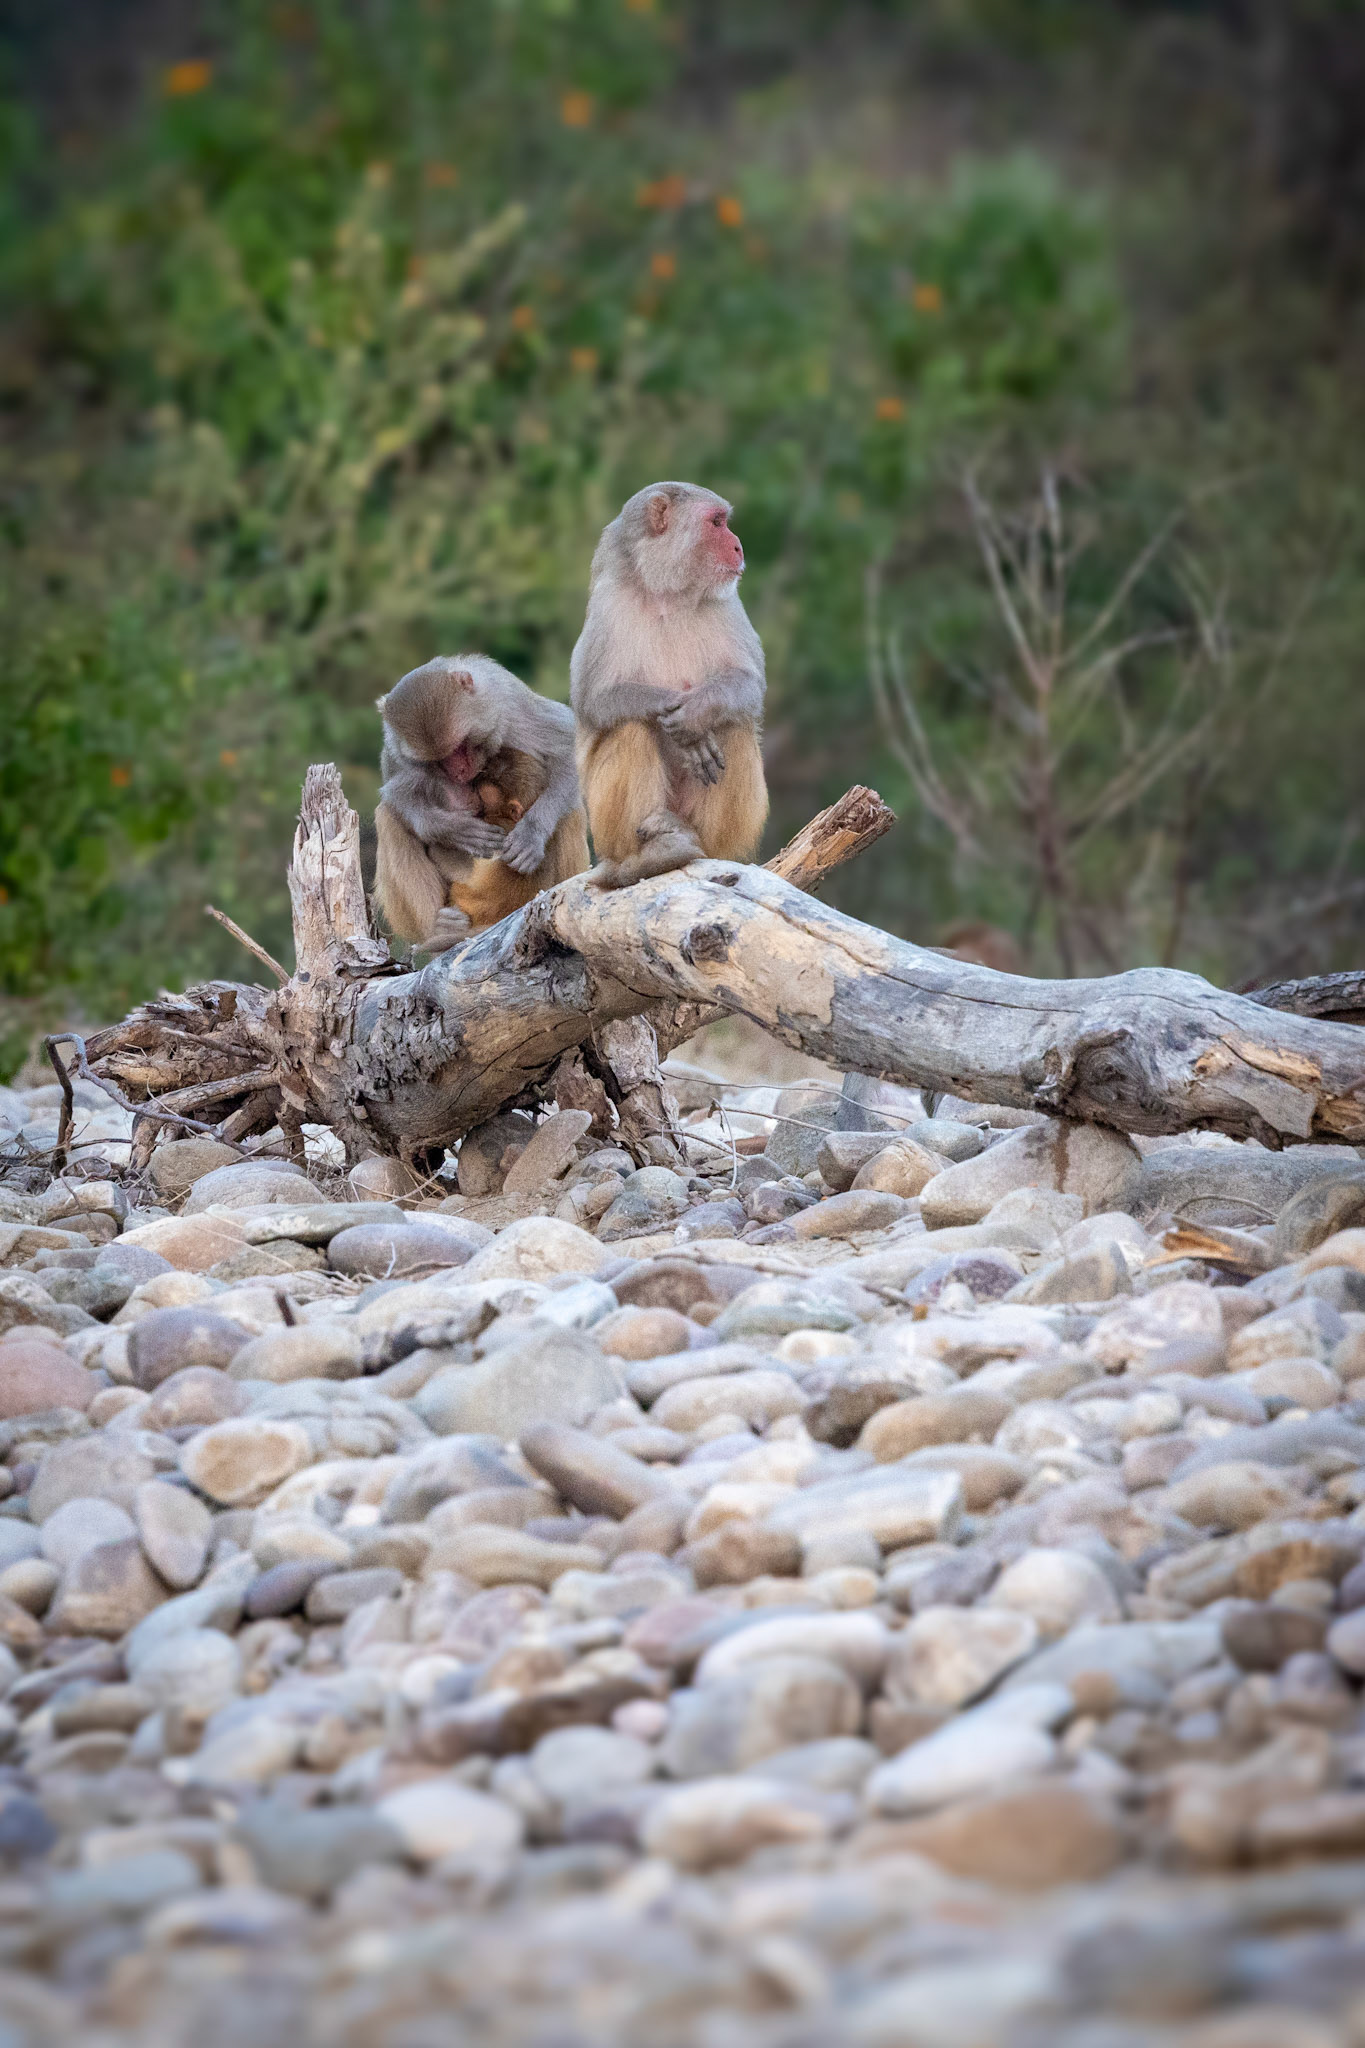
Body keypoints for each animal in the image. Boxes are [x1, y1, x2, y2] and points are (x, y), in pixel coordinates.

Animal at [373, 654, 589, 949]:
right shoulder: (395, 751)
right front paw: (451, 830)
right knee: (389, 816)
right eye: (438, 760)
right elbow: (397, 792)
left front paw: (531, 835)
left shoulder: (513, 707)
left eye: (461, 746)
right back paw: (438, 929)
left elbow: (568, 744)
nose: (459, 772)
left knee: (569, 810)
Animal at [569, 480, 768, 888]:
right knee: (630, 726)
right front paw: (669, 709)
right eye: (717, 522)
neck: (667, 595)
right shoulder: (607, 604)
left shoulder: (727, 600)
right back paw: (649, 856)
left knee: (734, 723)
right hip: (607, 833)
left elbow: (749, 683)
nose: (738, 546)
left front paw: (696, 714)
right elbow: (592, 700)